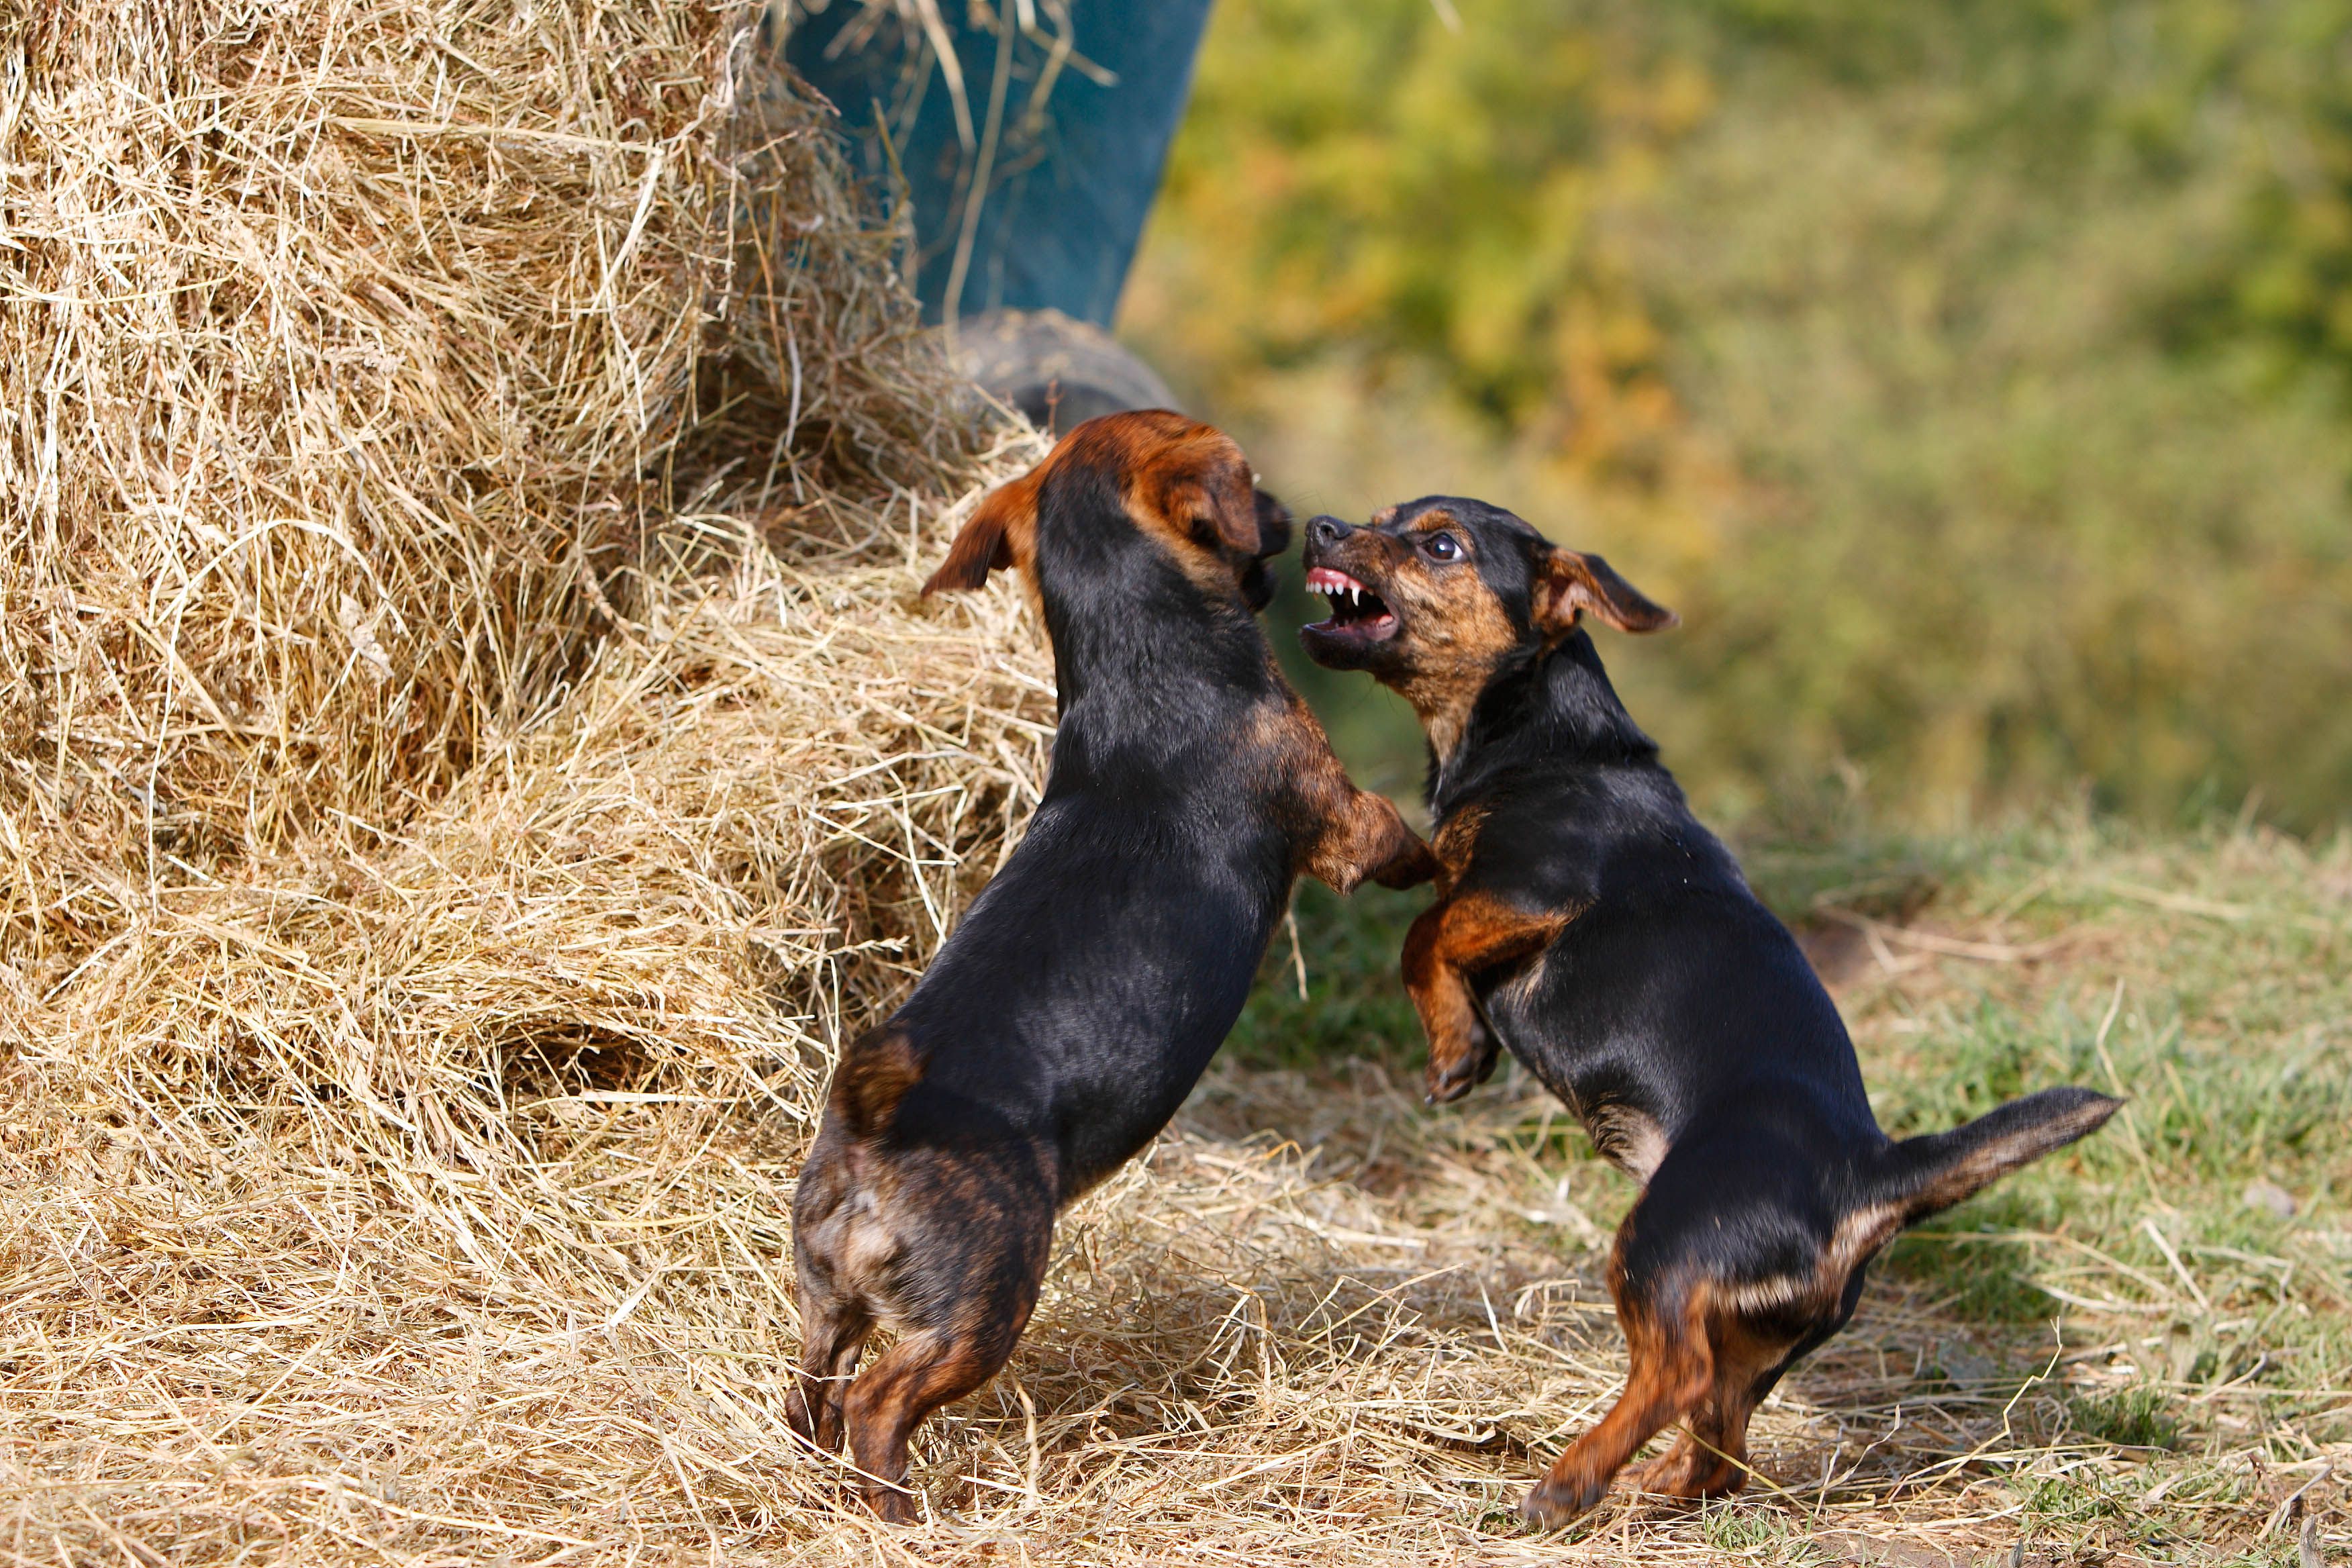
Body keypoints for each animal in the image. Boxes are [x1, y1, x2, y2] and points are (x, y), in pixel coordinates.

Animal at [785, 413, 1430, 1523]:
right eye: (1250, 484)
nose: (1295, 519)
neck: (1142, 660)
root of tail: (872, 1136)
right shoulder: (1352, 827)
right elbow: (1420, 842)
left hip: (833, 1303)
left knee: (809, 1396)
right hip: (984, 1302)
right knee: (878, 1404)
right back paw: (903, 1515)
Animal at [1298, 495, 2126, 1523]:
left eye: (1441, 544)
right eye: (1382, 518)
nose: (1321, 527)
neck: (1544, 738)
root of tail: (1870, 1172)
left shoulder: (1530, 893)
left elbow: (1422, 932)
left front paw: (1457, 1049)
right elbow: (1428, 909)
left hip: (1660, 1247)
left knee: (1678, 1378)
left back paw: (1568, 1481)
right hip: (1755, 1332)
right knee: (1720, 1436)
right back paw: (1657, 1487)